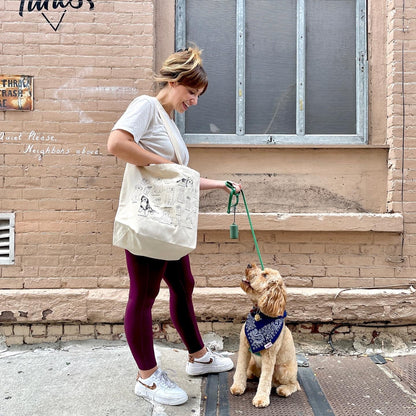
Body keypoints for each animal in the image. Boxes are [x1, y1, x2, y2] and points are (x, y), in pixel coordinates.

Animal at [229, 264, 300, 406]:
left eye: (265, 275)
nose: (249, 265)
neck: (260, 314)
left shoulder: (269, 355)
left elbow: (265, 379)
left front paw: (261, 398)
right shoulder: (244, 347)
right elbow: (240, 369)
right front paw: (238, 387)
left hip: (283, 370)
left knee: (294, 384)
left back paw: (284, 389)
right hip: (253, 362)